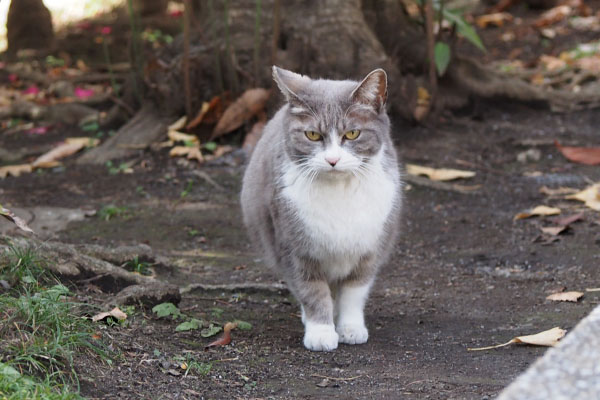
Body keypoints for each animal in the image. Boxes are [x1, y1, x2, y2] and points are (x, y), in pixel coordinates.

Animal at [240, 65, 404, 350]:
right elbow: (312, 291)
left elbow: (354, 292)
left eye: (352, 134)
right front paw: (321, 332)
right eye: (313, 135)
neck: (339, 192)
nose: (333, 159)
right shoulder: (295, 248)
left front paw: (350, 328)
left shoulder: (370, 248)